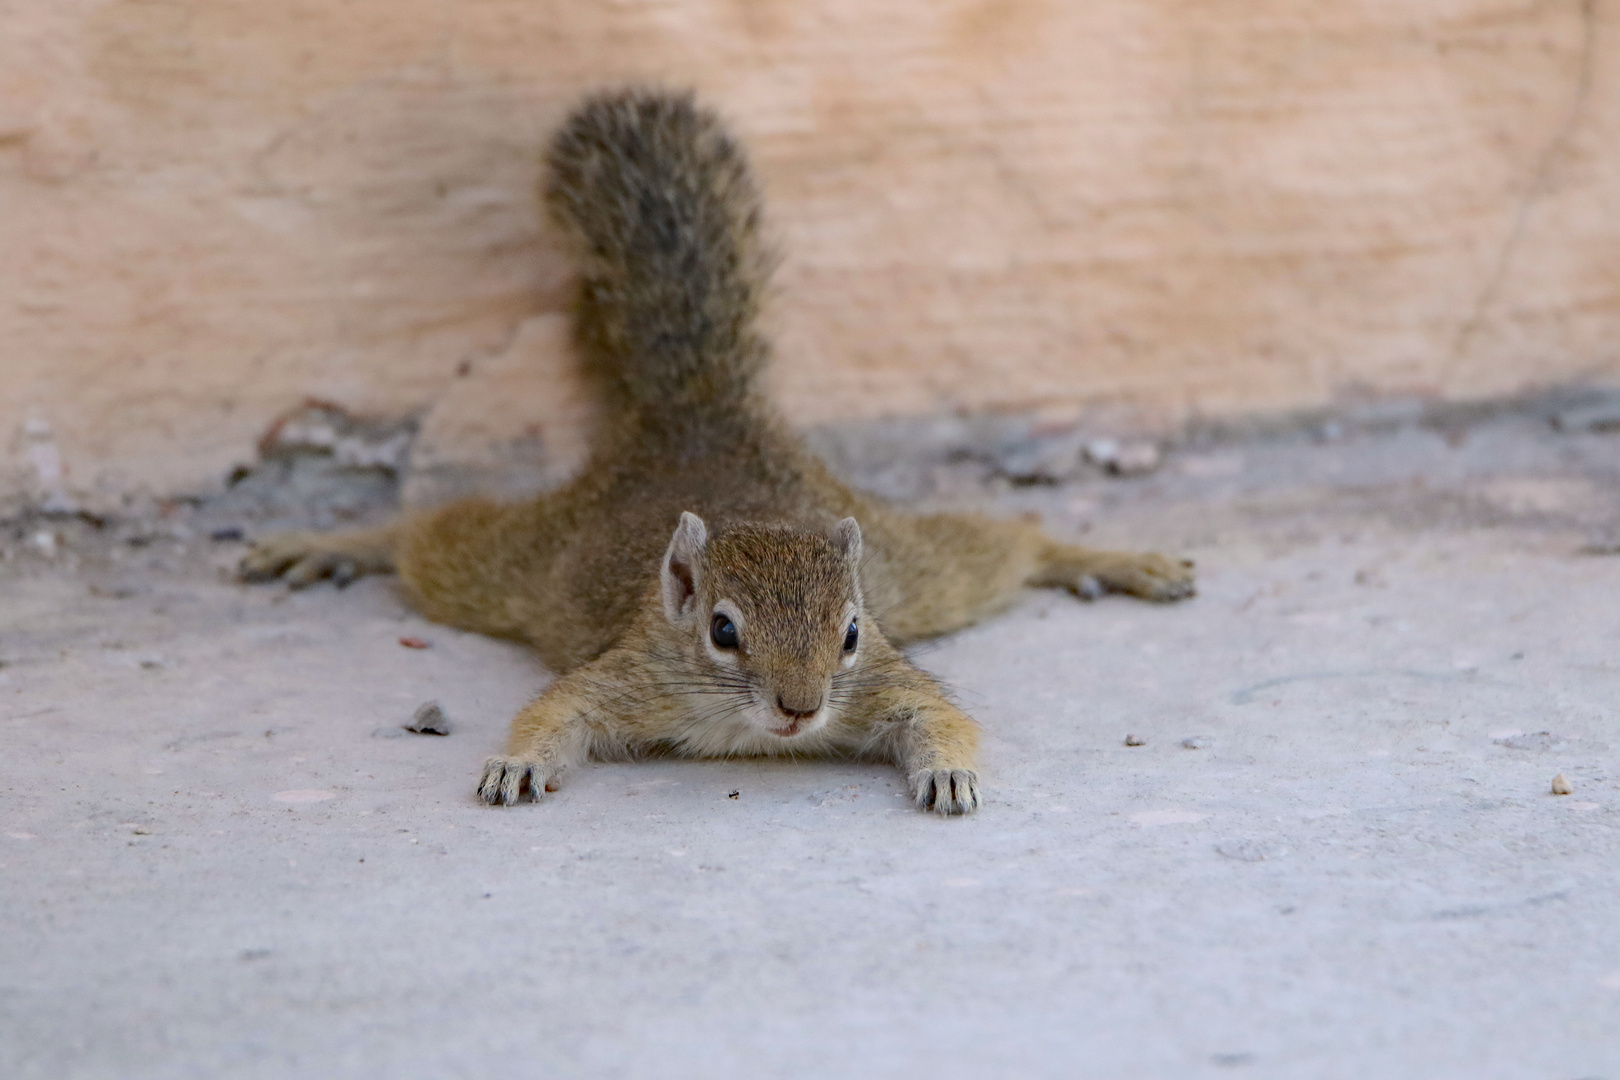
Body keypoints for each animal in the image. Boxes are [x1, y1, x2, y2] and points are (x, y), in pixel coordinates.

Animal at [243, 88, 1205, 816]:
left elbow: (938, 710)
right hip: (522, 566)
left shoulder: (885, 676)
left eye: (851, 632)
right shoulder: (627, 674)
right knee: (429, 541)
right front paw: (517, 760)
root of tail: (697, 412)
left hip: (913, 574)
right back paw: (324, 545)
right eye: (722, 630)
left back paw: (1118, 561)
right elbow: (557, 707)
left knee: (1007, 544)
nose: (801, 708)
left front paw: (949, 769)